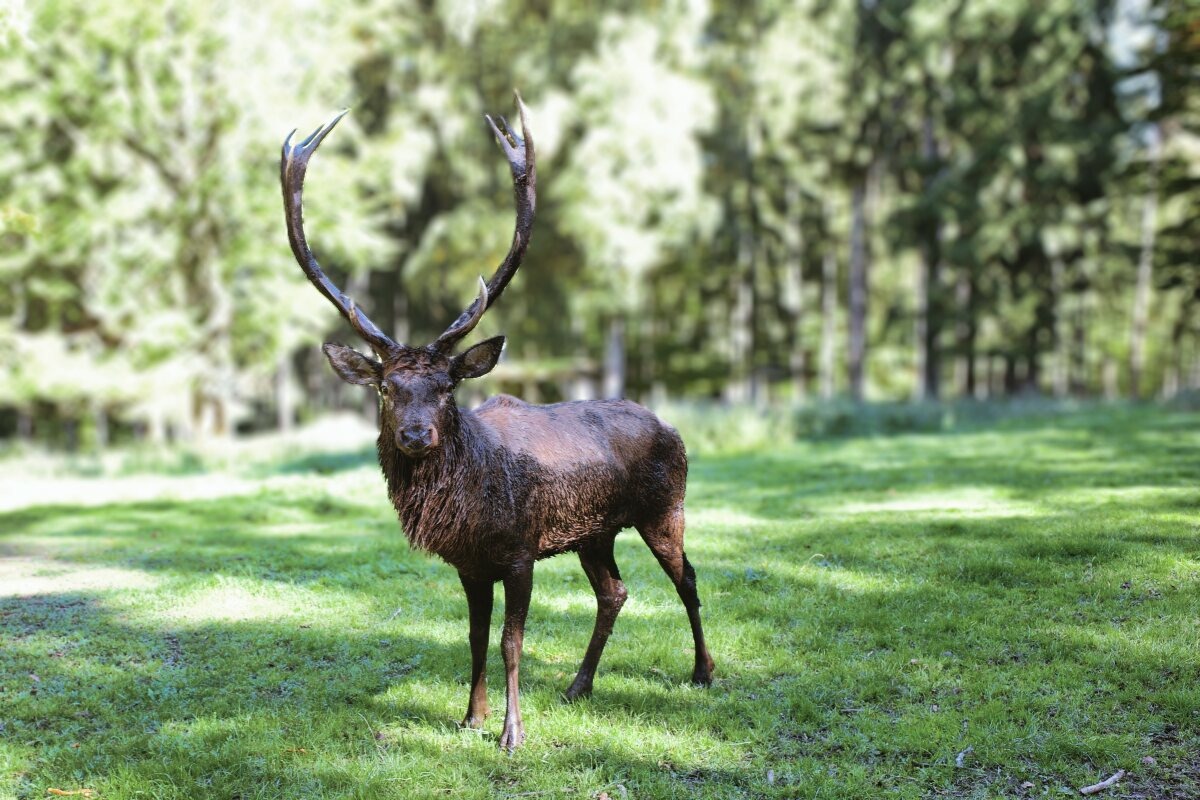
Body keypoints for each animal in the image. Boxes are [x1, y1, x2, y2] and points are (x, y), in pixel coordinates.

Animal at [280, 93, 714, 751]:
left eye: (447, 387)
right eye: (386, 388)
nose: (416, 434)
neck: (468, 509)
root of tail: (669, 425)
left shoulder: (518, 552)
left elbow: (512, 641)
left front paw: (512, 732)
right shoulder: (469, 564)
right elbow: (475, 638)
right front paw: (471, 716)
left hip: (667, 506)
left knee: (687, 577)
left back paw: (704, 672)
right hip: (594, 532)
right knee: (614, 591)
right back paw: (578, 685)